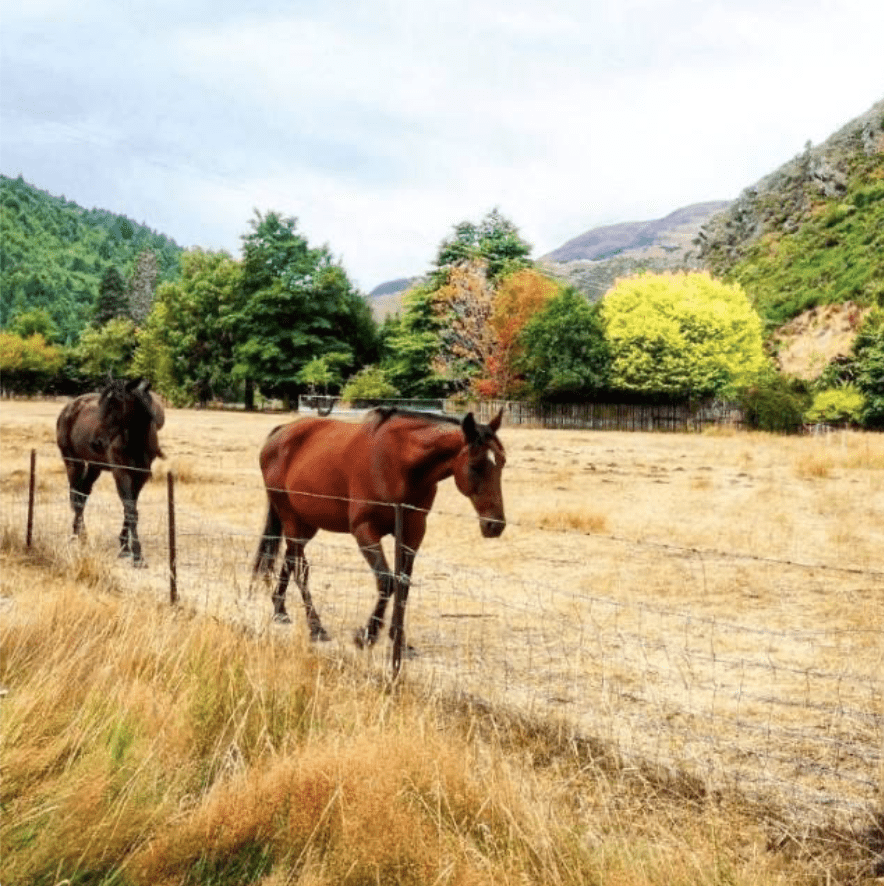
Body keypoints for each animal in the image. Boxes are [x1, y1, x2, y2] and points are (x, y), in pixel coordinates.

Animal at [56, 378, 166, 564]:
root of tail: (69, 407)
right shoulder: (121, 473)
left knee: (83, 495)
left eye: (116, 404)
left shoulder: (140, 475)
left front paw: (125, 548)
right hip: (73, 463)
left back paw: (81, 535)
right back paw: (78, 536)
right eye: (101, 404)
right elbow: (130, 510)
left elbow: (130, 509)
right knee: (76, 498)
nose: (96, 442)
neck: (135, 442)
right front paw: (137, 555)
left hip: (95, 467)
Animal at [252, 408, 508, 644]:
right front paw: (368, 634)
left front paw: (399, 639)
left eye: (502, 462)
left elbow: (403, 583)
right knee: (300, 569)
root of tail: (280, 432)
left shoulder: (413, 531)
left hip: (306, 524)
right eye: (475, 465)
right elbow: (387, 580)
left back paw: (280, 611)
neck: (399, 465)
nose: (495, 525)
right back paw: (316, 627)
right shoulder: (365, 530)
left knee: (289, 560)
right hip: (291, 519)